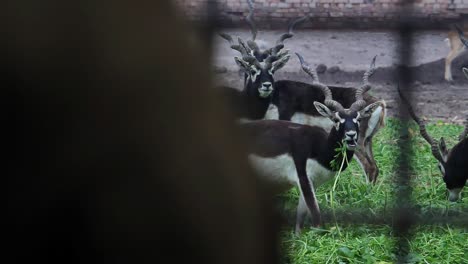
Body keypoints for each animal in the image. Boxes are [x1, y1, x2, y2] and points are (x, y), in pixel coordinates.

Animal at [241, 52, 384, 233]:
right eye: (336, 119)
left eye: (357, 118)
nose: (351, 135)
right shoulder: (305, 179)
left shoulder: (308, 181)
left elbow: (307, 221)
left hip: (362, 144)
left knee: (370, 167)